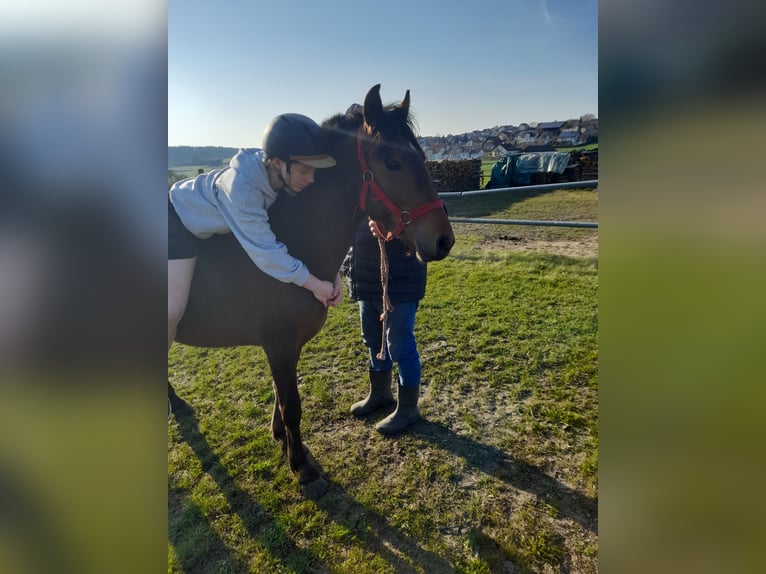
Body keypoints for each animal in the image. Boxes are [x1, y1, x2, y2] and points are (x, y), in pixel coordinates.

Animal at [171, 84, 455, 499]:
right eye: (392, 163)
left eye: (421, 156)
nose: (443, 240)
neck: (293, 238)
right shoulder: (278, 345)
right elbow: (291, 405)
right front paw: (302, 468)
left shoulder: (287, 347)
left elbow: (281, 397)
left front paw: (283, 441)